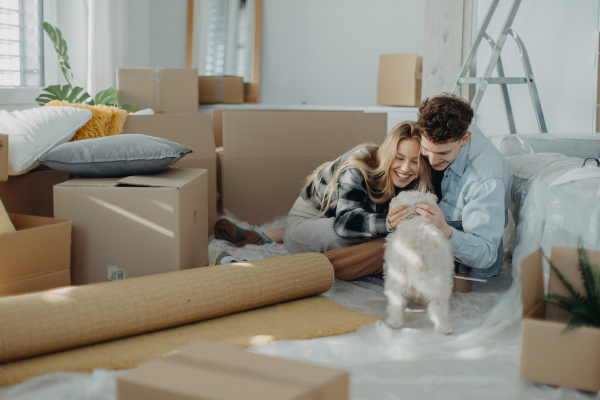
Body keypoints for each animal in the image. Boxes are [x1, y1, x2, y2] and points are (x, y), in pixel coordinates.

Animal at [384, 191, 454, 334]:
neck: (414, 218)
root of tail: (420, 255)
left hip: (397, 278)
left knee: (396, 301)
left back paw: (393, 323)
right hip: (441, 282)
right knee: (439, 307)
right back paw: (444, 328)